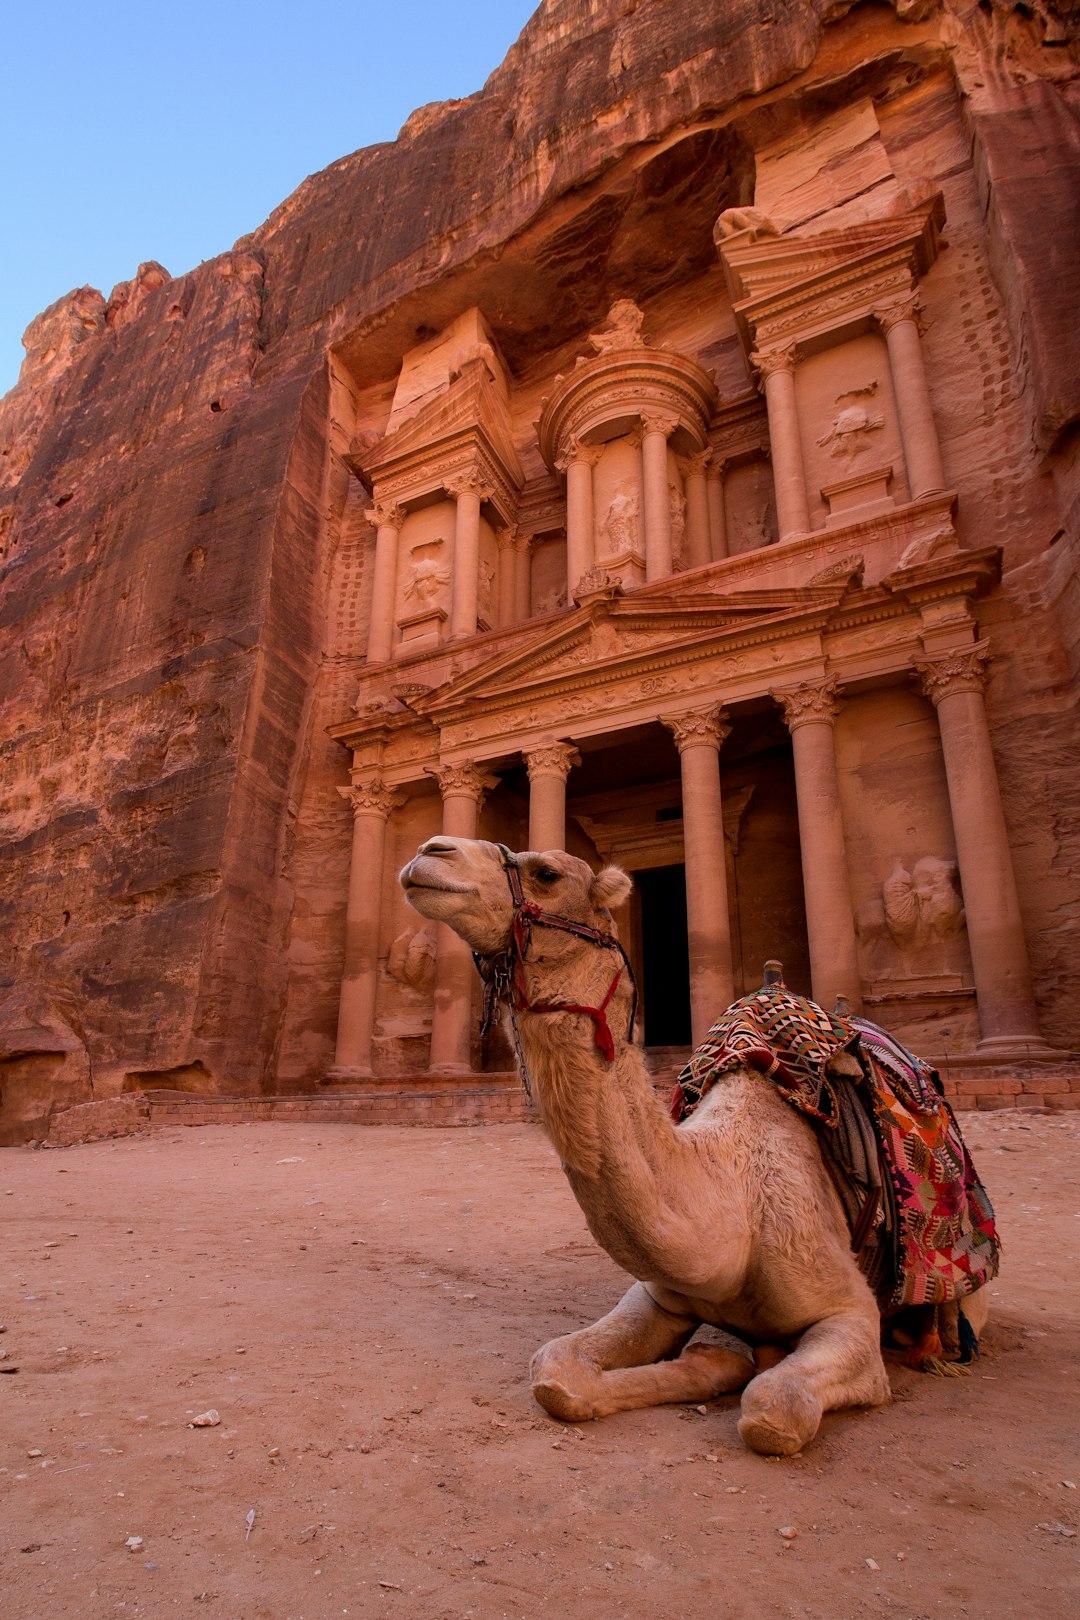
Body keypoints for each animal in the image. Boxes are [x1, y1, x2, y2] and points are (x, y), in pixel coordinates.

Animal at [399, 837, 984, 1455]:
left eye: (547, 873)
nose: (430, 852)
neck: (733, 1209)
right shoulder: (657, 1295)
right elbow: (555, 1371)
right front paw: (715, 1362)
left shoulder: (849, 1314)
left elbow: (774, 1407)